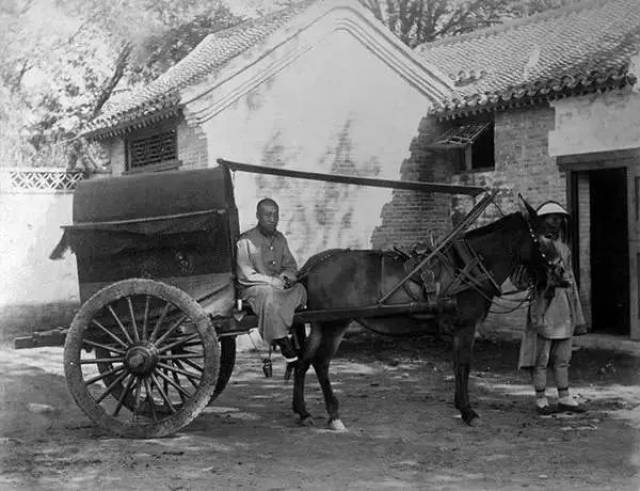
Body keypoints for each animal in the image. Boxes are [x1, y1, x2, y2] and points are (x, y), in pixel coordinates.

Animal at [290, 201, 552, 430]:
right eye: (547, 235)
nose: (554, 273)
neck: (468, 266)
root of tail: (311, 267)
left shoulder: (459, 328)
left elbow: (456, 365)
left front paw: (461, 407)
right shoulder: (467, 326)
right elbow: (464, 365)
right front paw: (469, 412)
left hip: (319, 324)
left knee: (302, 361)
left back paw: (303, 412)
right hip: (335, 322)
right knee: (321, 362)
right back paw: (334, 415)